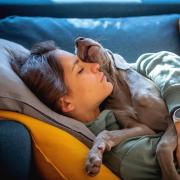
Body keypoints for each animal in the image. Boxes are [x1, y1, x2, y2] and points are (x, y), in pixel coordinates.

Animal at [75, 37, 179, 180]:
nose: (77, 40)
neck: (117, 86)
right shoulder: (142, 128)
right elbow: (105, 133)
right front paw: (93, 157)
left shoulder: (170, 119)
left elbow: (162, 146)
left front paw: (171, 175)